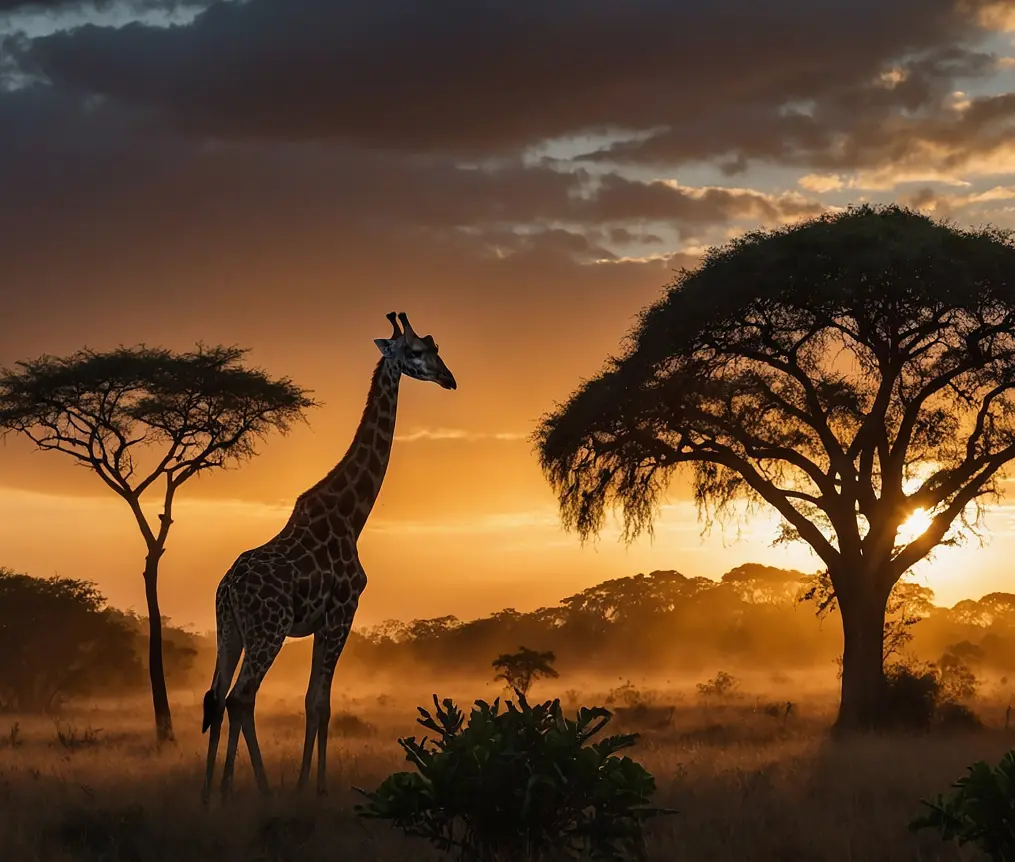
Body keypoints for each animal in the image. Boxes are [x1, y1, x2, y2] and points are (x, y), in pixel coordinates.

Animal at [200, 311, 456, 802]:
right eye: (418, 351)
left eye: (436, 346)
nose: (450, 379)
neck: (351, 515)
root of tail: (227, 588)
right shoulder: (342, 612)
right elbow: (321, 703)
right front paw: (312, 790)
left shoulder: (324, 621)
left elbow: (311, 702)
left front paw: (307, 785)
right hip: (269, 630)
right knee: (241, 697)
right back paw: (261, 792)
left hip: (229, 630)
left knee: (217, 697)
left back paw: (213, 797)